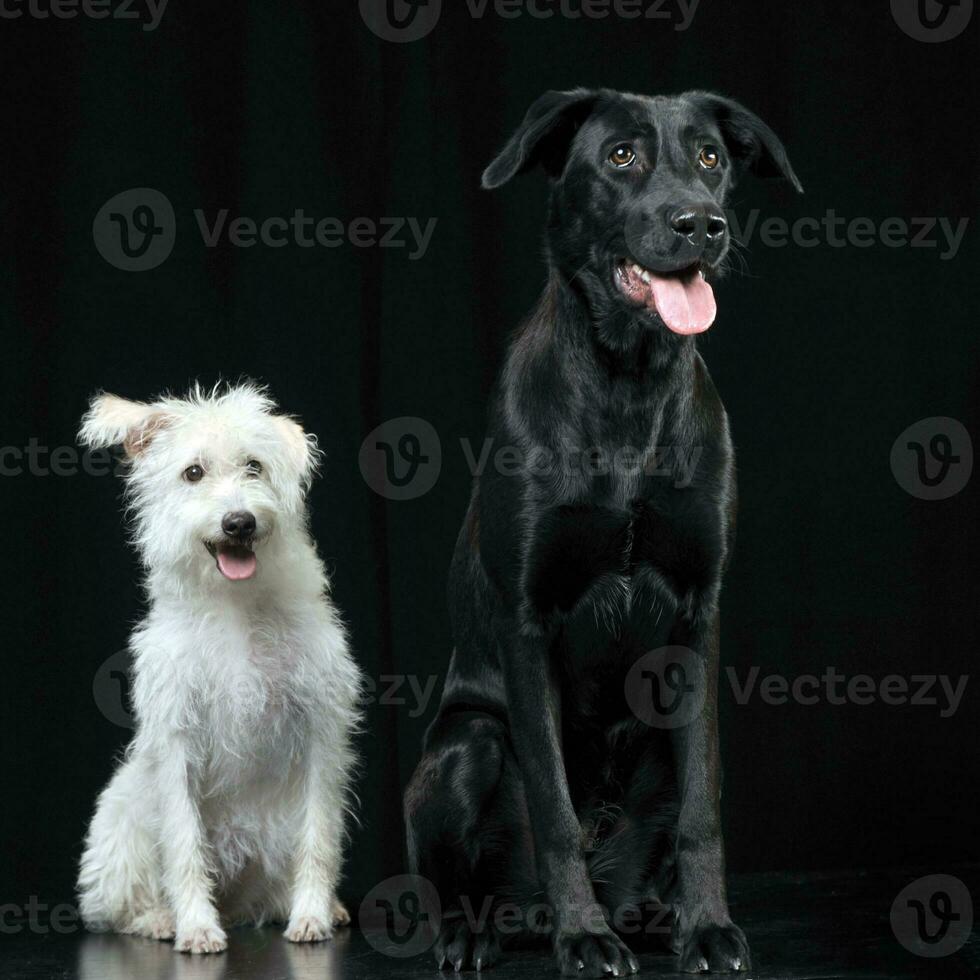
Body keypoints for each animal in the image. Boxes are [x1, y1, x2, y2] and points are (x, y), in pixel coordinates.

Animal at [74, 386, 360, 952]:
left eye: (255, 466)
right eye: (192, 472)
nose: (239, 522)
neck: (235, 604)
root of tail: (235, 901)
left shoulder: (320, 734)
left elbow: (319, 836)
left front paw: (312, 914)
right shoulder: (176, 739)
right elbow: (183, 841)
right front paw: (197, 926)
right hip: (122, 821)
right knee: (117, 907)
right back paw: (160, 919)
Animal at [402, 88, 800, 976]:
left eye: (711, 157)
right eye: (621, 157)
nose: (701, 225)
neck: (628, 384)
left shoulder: (697, 615)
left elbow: (702, 808)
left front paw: (708, 927)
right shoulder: (527, 619)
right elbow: (553, 810)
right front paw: (583, 938)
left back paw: (653, 915)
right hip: (462, 748)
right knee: (465, 879)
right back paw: (482, 933)